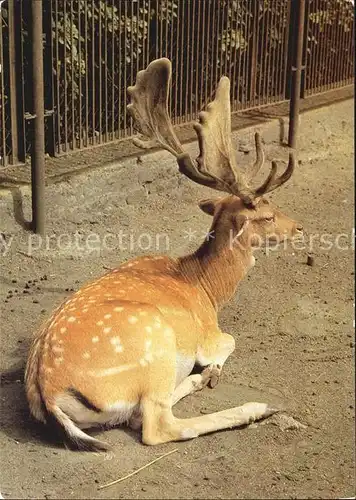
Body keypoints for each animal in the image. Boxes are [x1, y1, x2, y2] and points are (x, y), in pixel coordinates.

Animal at [25, 56, 304, 452]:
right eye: (266, 215)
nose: (298, 227)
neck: (207, 289)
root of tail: (47, 395)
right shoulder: (208, 334)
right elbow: (230, 341)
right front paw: (213, 369)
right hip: (154, 343)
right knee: (155, 425)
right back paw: (254, 405)